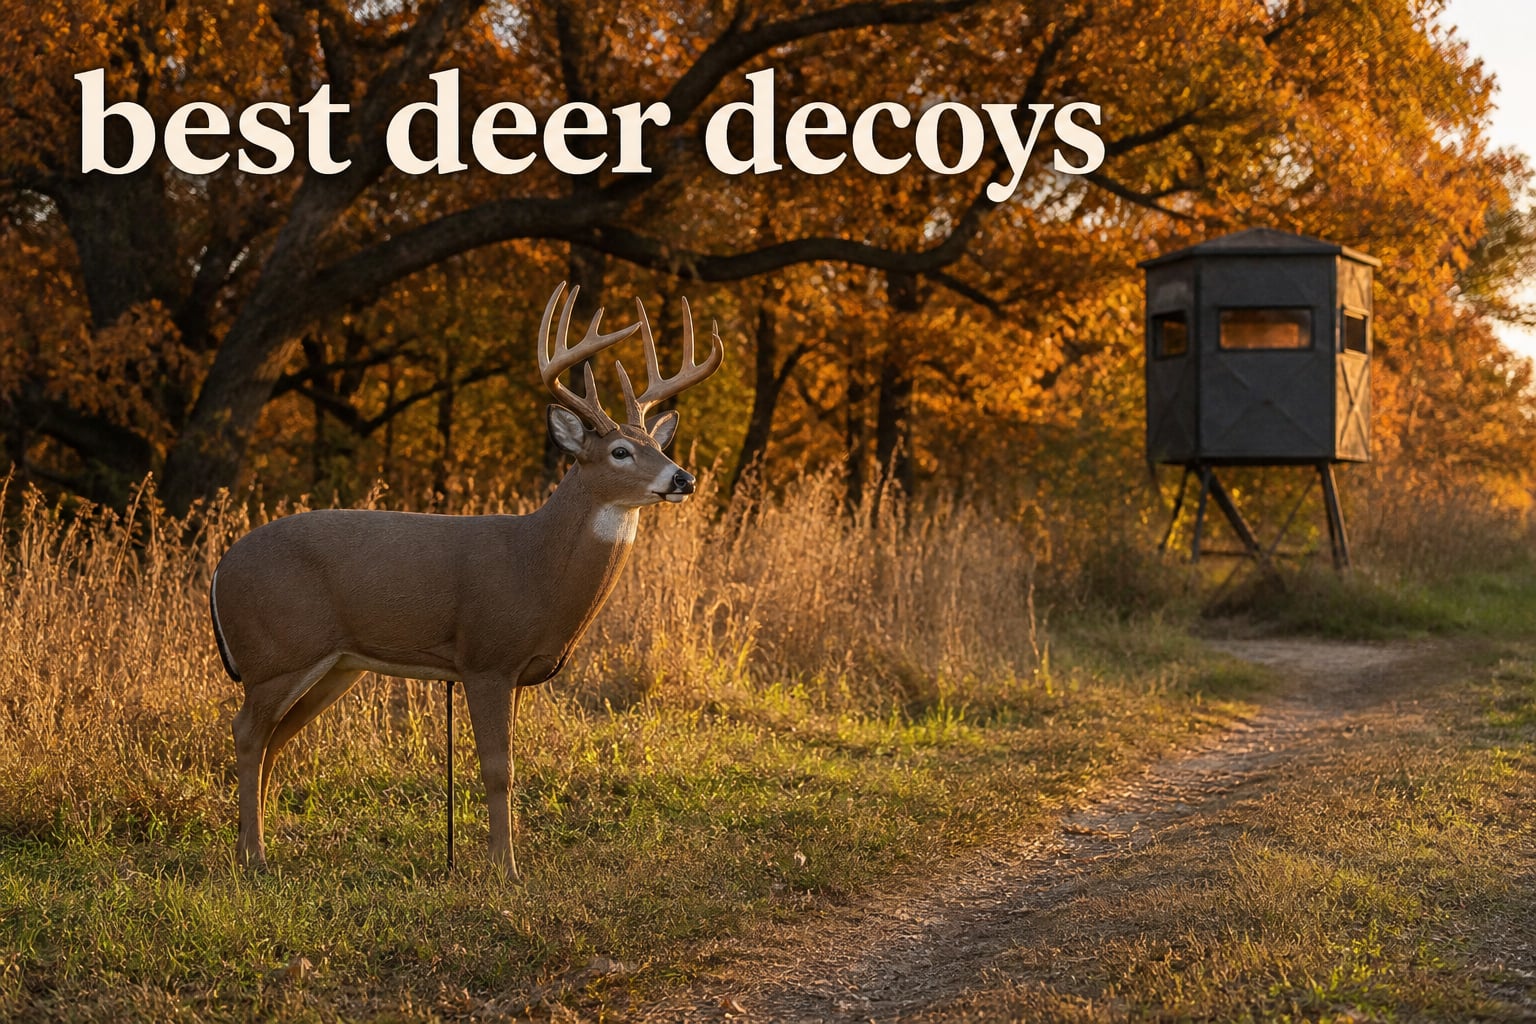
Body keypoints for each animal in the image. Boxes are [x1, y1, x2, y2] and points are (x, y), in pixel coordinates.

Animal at [209, 281, 723, 878]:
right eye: (620, 451)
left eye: (660, 447)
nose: (683, 478)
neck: (535, 566)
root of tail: (220, 569)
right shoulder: (486, 656)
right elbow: (498, 768)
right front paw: (505, 869)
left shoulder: (516, 670)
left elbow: (511, 766)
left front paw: (499, 861)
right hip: (277, 653)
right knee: (248, 733)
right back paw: (253, 857)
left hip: (334, 665)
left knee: (275, 738)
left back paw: (255, 846)